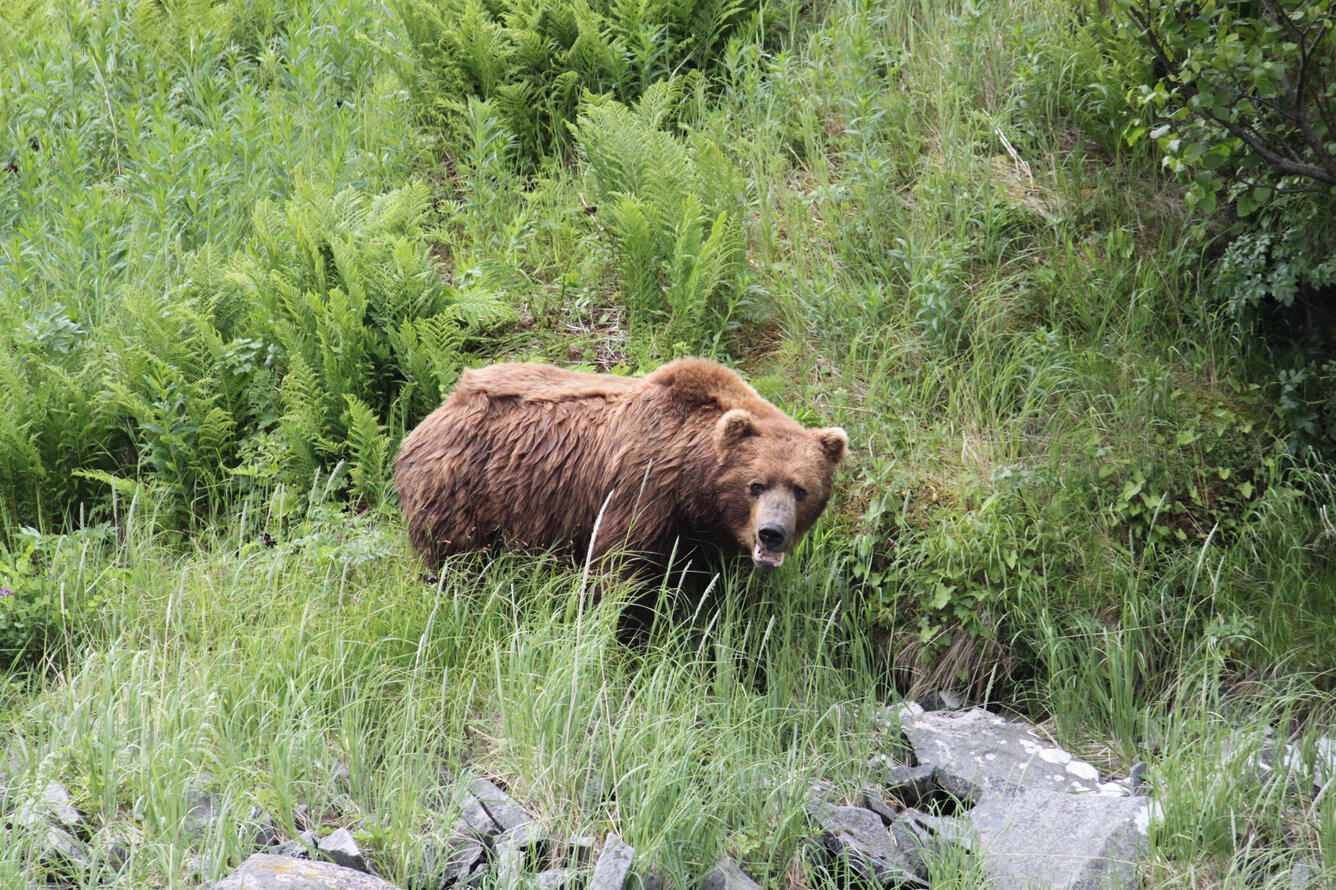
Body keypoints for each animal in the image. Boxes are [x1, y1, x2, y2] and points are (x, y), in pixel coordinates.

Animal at [394, 358, 848, 577]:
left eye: (801, 489)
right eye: (755, 484)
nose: (772, 533)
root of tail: (440, 408)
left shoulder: (708, 536)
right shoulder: (643, 492)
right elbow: (619, 569)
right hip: (462, 491)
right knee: (457, 562)